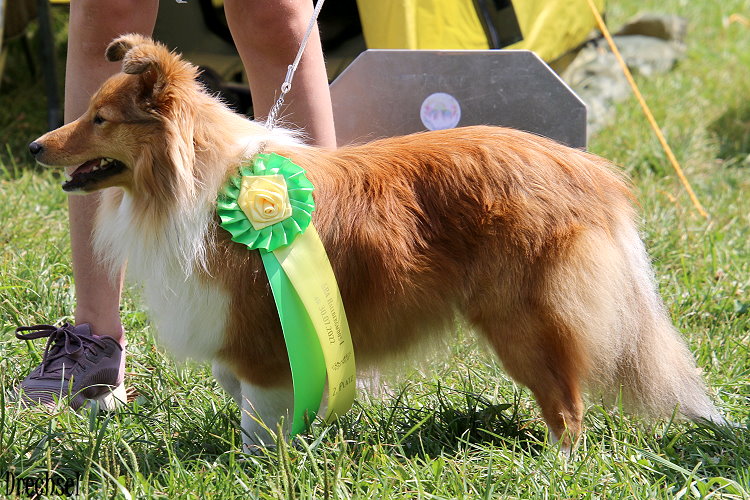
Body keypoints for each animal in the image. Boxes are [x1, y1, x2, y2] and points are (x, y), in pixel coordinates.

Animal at [29, 34, 728, 450]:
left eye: (100, 119)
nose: (35, 146)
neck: (198, 183)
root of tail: (591, 171)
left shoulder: (259, 342)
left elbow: (259, 421)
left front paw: (263, 468)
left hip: (524, 318)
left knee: (568, 403)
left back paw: (558, 465)